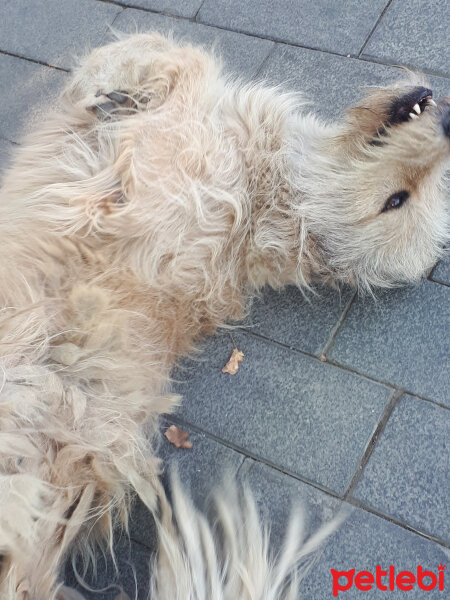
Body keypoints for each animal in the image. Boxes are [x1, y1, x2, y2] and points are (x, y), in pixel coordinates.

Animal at [0, 34, 448, 600]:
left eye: (397, 200)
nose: (448, 123)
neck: (267, 203)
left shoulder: (148, 167)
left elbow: (183, 60)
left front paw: (115, 85)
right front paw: (116, 89)